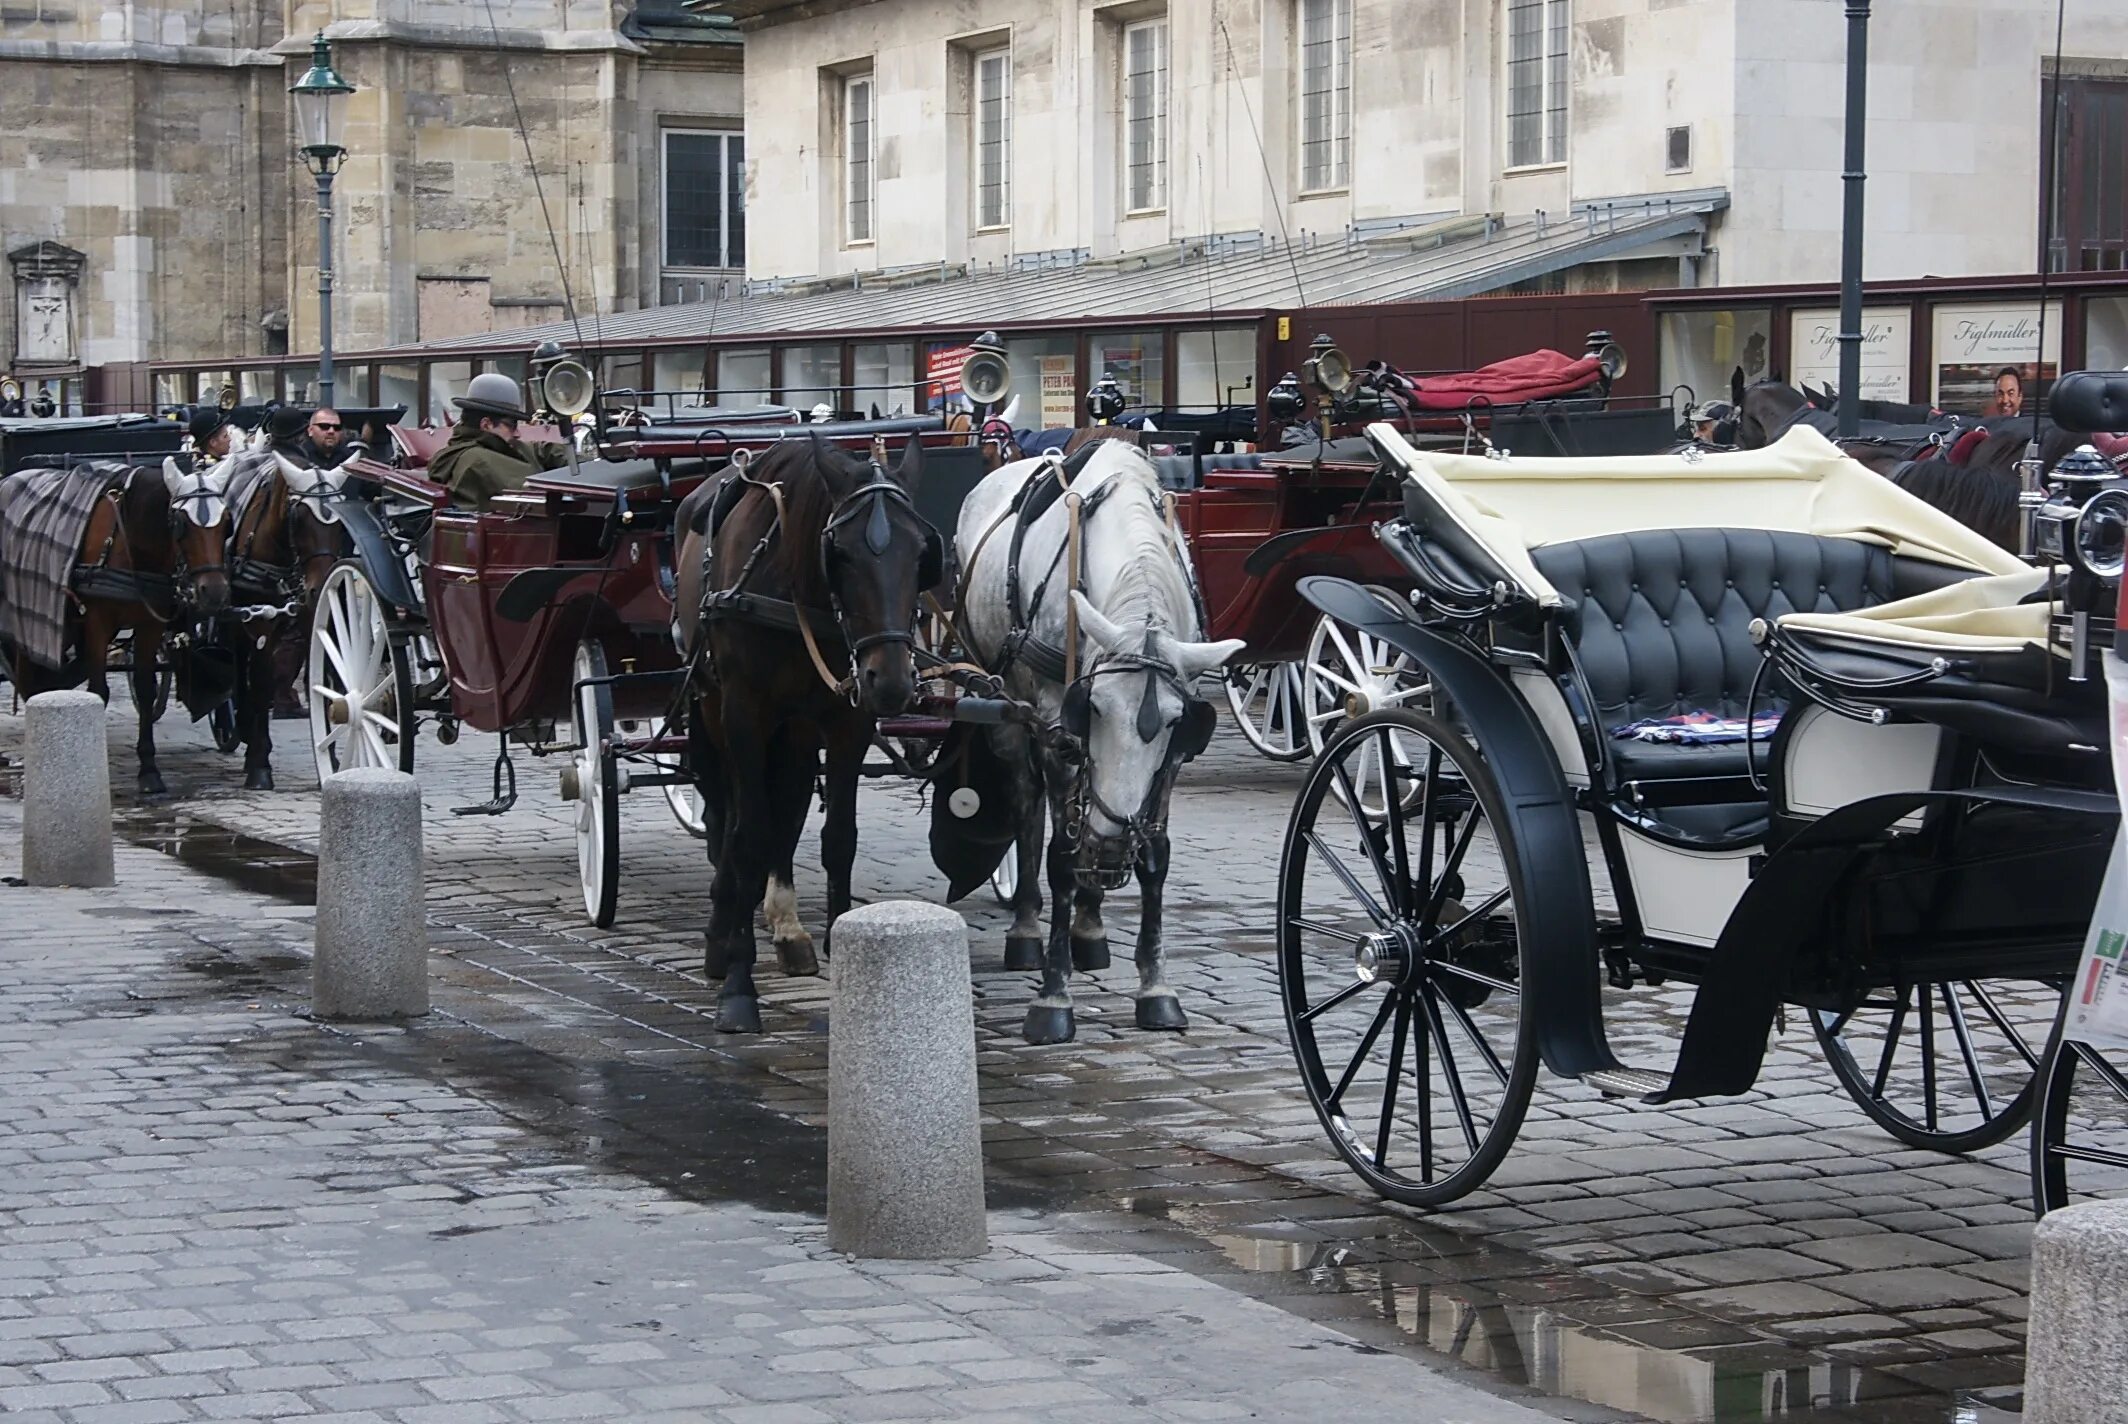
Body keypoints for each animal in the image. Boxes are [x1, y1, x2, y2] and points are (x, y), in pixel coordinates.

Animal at [672, 434, 940, 1034]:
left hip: (794, 729)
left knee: (787, 808)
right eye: (839, 553)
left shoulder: (848, 721)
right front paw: (738, 987)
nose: (893, 681)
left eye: (922, 553)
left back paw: (786, 927)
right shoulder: (744, 712)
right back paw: (723, 930)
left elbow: (838, 838)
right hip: (712, 706)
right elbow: (748, 837)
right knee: (728, 812)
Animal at [957, 438, 1242, 1038]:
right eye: (1092, 708)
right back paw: (1027, 928)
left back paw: (1089, 925)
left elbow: (1155, 854)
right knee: (1027, 806)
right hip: (1007, 707)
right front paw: (1053, 997)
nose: (1113, 843)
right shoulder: (1055, 728)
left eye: (1179, 724)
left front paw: (1156, 989)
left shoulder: (1167, 762)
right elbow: (1062, 853)